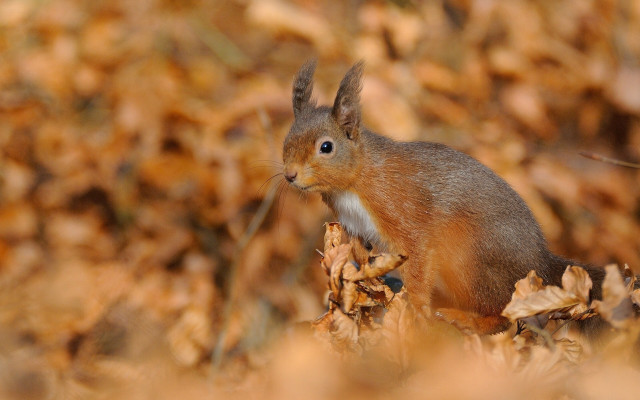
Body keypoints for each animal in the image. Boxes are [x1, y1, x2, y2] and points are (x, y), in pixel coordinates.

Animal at [282, 60, 606, 335]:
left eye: (326, 147)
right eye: (287, 139)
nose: (289, 175)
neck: (354, 182)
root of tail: (539, 263)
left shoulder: (403, 209)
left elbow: (418, 256)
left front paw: (417, 308)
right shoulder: (353, 226)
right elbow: (361, 258)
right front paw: (365, 285)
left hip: (468, 260)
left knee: (504, 313)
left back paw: (468, 319)